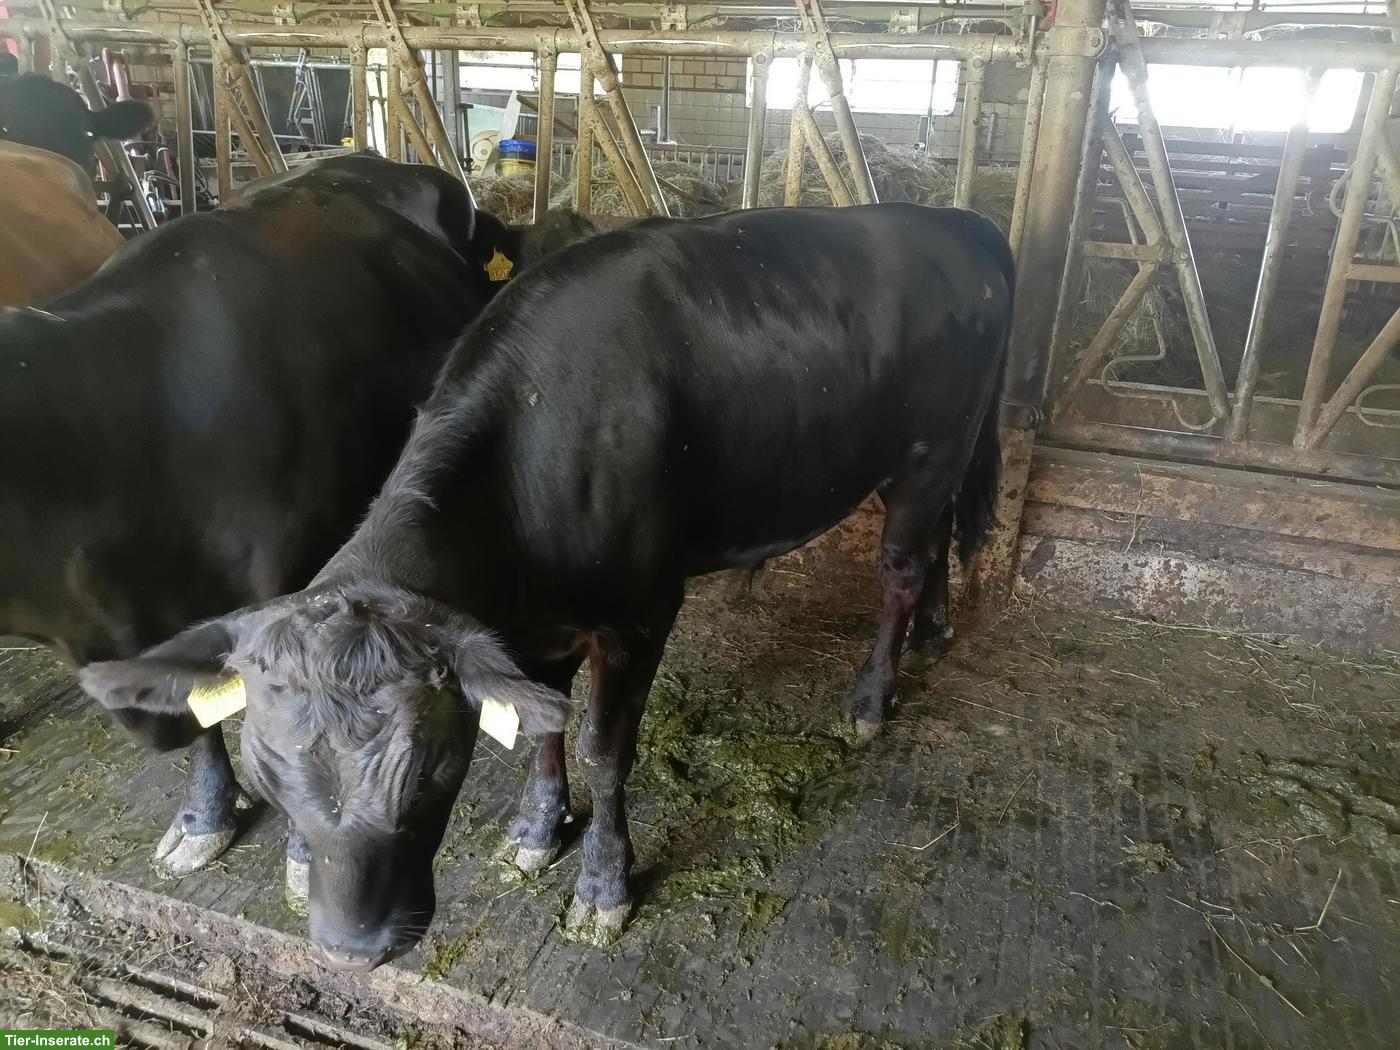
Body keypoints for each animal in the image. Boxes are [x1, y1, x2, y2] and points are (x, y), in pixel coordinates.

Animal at [81, 203, 1014, 970]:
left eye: (434, 770)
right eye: (268, 776)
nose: (352, 948)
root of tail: (962, 221)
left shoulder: (641, 613)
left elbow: (604, 746)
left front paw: (603, 885)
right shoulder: (523, 630)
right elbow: (540, 723)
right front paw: (536, 828)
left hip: (928, 453)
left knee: (901, 568)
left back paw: (871, 697)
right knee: (938, 548)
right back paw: (933, 631)